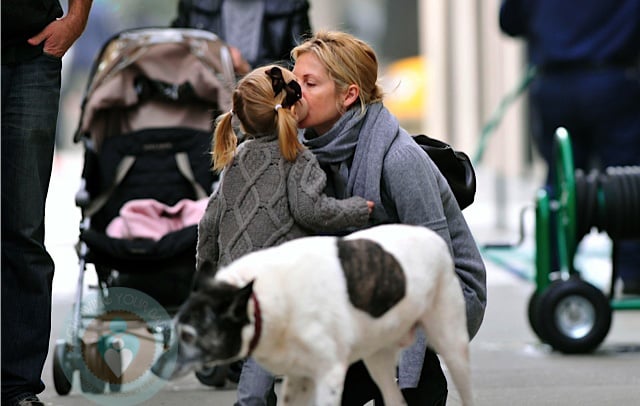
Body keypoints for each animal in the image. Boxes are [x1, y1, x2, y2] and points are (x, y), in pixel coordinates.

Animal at [169, 224, 470, 406]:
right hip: (378, 359)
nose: (162, 366)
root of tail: (434, 237)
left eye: (189, 335)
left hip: (453, 349)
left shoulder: (330, 376)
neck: (261, 299)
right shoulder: (297, 379)